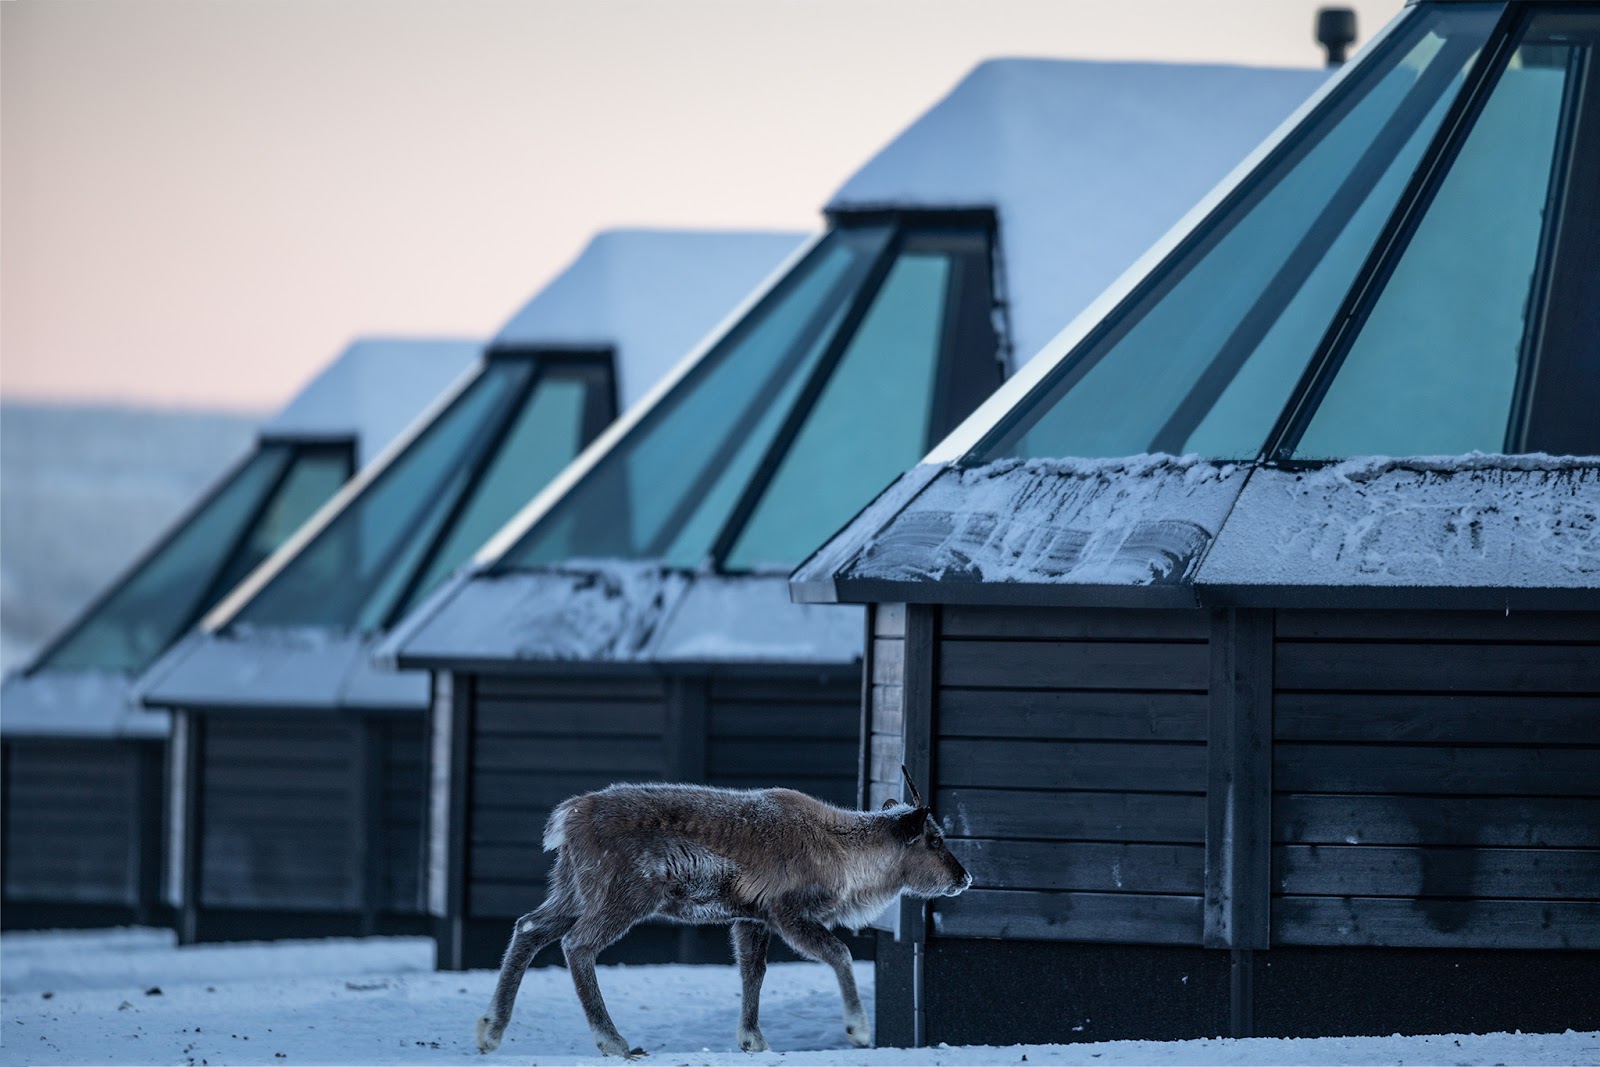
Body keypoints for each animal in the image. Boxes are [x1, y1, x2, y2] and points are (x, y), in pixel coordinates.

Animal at [474, 767, 971, 1058]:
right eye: (934, 839)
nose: (964, 877)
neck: (846, 854)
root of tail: (568, 816)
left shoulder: (750, 917)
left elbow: (753, 971)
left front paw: (753, 1040)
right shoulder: (786, 911)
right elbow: (839, 953)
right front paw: (859, 1030)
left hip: (571, 888)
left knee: (529, 927)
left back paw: (490, 1031)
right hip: (624, 893)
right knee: (577, 944)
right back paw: (613, 1040)